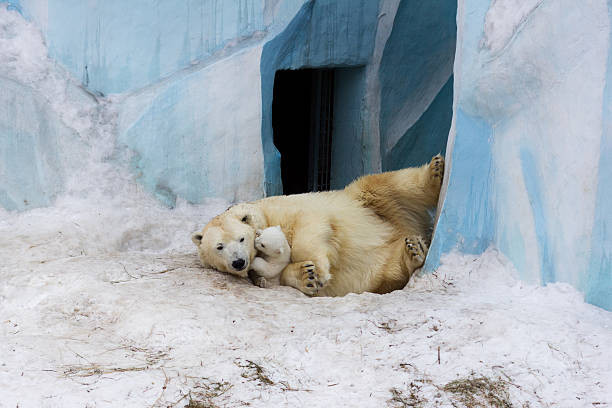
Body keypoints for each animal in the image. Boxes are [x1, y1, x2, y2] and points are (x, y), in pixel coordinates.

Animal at [191, 154, 444, 296]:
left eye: (241, 238)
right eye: (219, 247)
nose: (238, 262)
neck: (265, 216)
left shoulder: (288, 209)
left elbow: (309, 226)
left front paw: (318, 271)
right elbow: (275, 278)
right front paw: (307, 276)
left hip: (369, 203)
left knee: (384, 184)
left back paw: (435, 172)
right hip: (379, 268)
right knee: (391, 270)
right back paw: (412, 250)